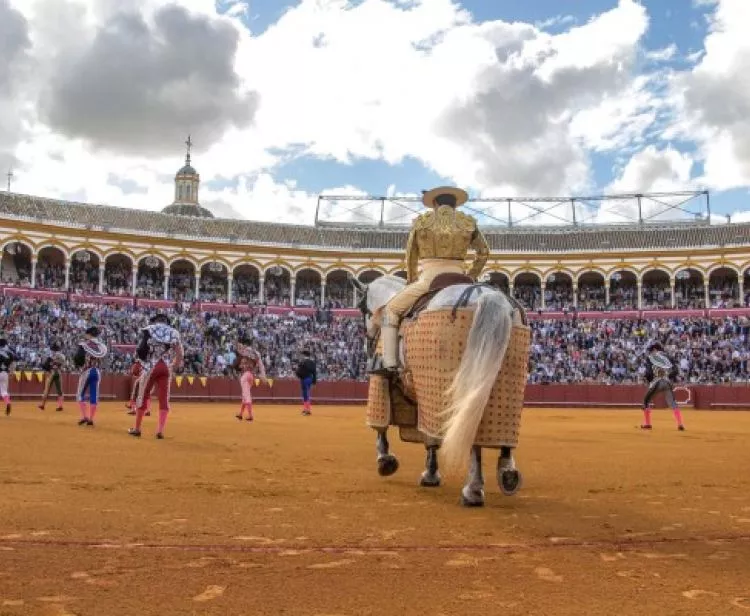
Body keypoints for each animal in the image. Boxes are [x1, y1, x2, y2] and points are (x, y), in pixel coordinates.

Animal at [354, 276, 524, 508]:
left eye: (362, 307)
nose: (368, 343)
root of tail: (485, 294)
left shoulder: (382, 380)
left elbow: (382, 427)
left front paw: (386, 461)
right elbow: (429, 437)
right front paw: (431, 473)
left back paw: (472, 490)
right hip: (503, 377)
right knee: (498, 424)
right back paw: (507, 474)